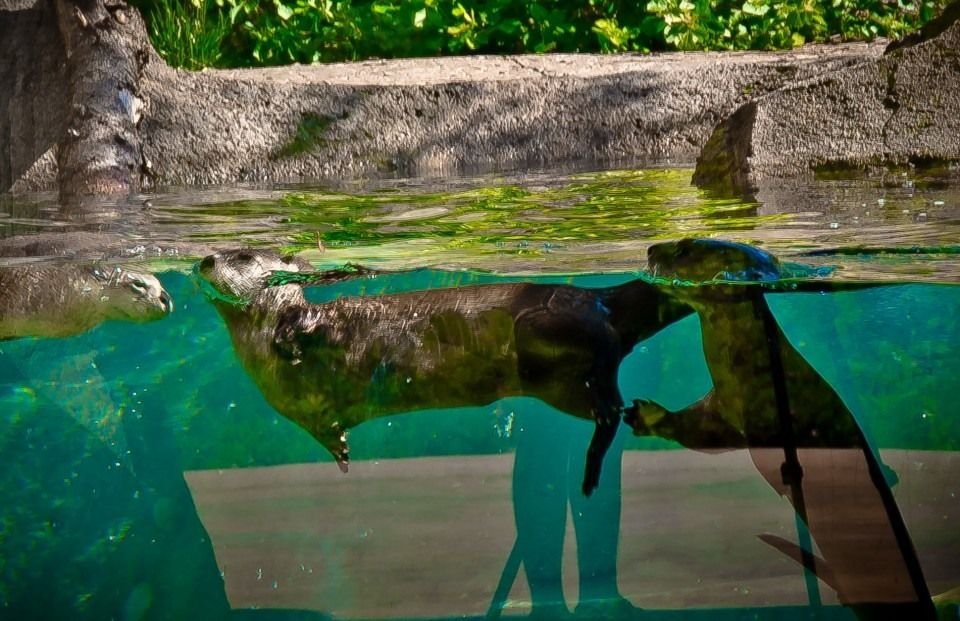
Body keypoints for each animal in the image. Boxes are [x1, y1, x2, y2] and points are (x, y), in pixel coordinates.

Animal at [198, 248, 692, 495]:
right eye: (218, 251)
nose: (204, 261)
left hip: (549, 328)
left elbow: (319, 327)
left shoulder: (331, 321)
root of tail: (599, 297)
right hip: (558, 384)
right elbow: (327, 433)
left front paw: (292, 338)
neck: (258, 346)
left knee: (608, 379)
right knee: (608, 404)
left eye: (242, 257)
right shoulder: (306, 412)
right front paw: (342, 454)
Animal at [627, 238, 936, 618]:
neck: (755, 362)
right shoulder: (722, 408)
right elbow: (701, 433)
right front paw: (646, 415)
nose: (650, 249)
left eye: (684, 248)